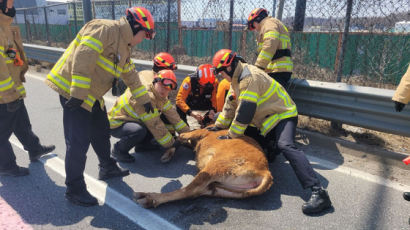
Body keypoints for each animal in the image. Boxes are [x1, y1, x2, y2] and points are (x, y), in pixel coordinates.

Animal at [134, 127, 272, 208]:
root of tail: (265, 172)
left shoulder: (199, 132)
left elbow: (181, 136)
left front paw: (167, 154)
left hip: (215, 168)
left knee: (188, 189)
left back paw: (149, 198)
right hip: (225, 190)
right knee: (196, 192)